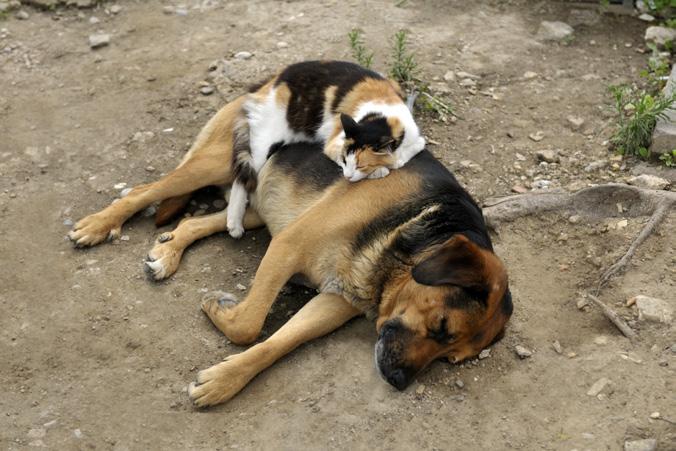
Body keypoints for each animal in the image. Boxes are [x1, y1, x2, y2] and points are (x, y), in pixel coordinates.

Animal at [70, 94, 512, 406]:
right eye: (441, 326)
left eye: (450, 358)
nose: (398, 382)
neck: (422, 225)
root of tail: (256, 89)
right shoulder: (288, 246)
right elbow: (249, 325)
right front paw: (220, 312)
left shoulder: (335, 300)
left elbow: (276, 342)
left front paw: (224, 380)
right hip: (215, 168)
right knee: (144, 192)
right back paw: (96, 225)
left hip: (256, 208)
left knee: (197, 222)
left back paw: (168, 251)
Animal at [228, 60, 428, 238]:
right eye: (345, 160)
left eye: (360, 165)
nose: (347, 176)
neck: (382, 116)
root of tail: (272, 81)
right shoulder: (334, 142)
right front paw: (381, 170)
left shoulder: (416, 137)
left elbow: (413, 148)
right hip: (263, 144)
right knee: (241, 179)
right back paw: (234, 223)